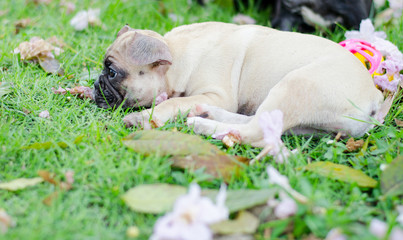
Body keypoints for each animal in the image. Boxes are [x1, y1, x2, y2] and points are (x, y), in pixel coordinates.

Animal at [94, 22, 386, 146]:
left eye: (112, 72)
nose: (97, 85)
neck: (177, 53)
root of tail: (375, 101)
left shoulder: (216, 94)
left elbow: (175, 101)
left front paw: (143, 118)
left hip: (294, 84)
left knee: (254, 132)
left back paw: (201, 124)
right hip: (304, 122)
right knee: (258, 123)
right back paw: (207, 116)